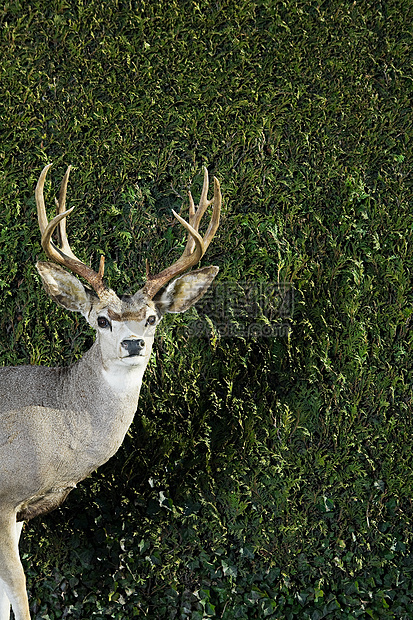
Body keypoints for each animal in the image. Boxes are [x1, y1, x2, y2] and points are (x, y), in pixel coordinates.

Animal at [0, 165, 220, 620]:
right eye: (102, 320)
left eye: (152, 318)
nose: (133, 343)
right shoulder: (3, 497)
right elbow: (19, 593)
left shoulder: (20, 513)